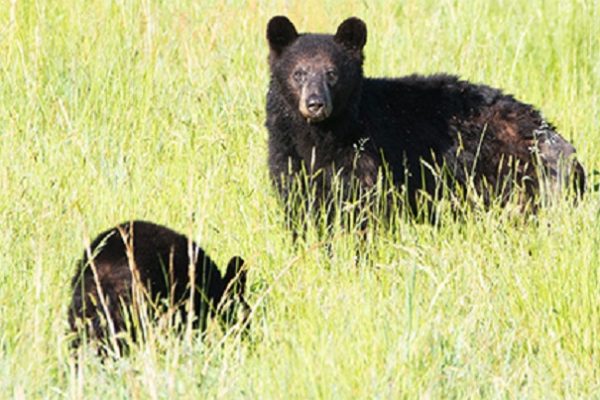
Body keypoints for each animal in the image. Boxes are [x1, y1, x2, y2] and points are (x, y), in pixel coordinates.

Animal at [266, 17, 584, 230]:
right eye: (298, 73)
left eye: (332, 73)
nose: (315, 104)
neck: (320, 135)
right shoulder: (286, 151)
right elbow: (298, 199)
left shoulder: (365, 152)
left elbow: (364, 203)